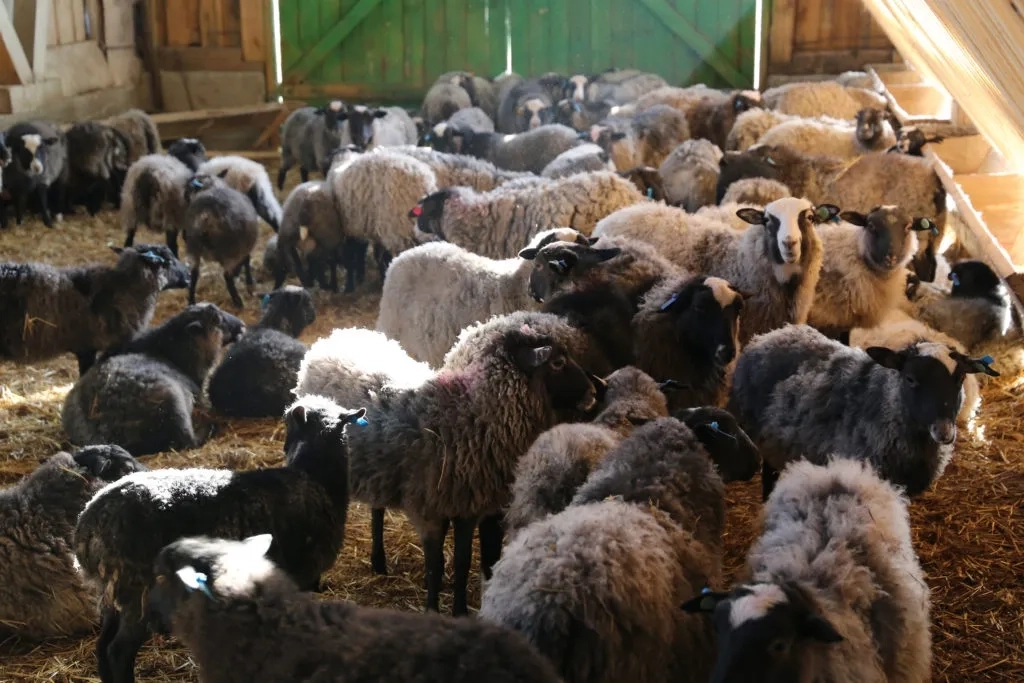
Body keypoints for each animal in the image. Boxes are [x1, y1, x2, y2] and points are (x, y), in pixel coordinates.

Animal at [74, 396, 366, 683]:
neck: (315, 478)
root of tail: (88, 524)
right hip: (137, 588)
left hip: (113, 589)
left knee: (102, 646)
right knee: (118, 651)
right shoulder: (302, 575)